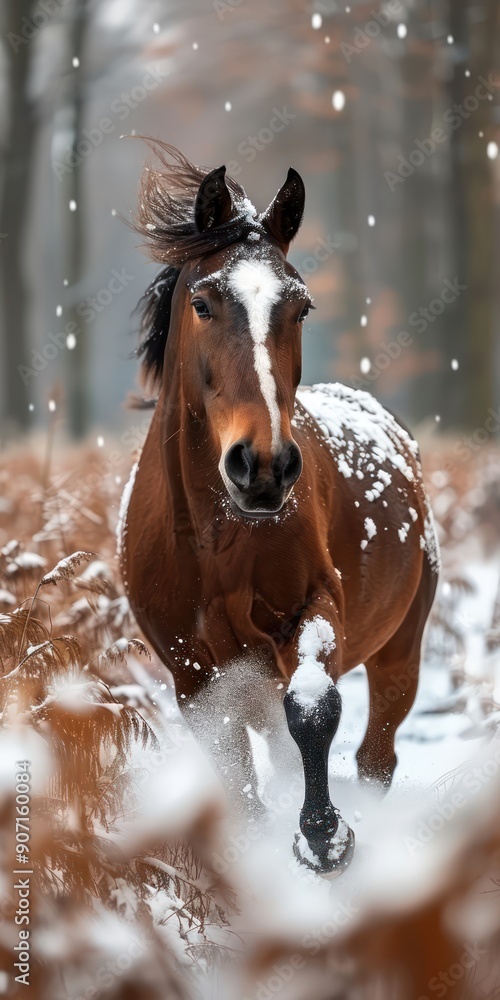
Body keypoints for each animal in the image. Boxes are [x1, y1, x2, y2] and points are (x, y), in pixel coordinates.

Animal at [118, 143, 439, 877]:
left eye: (302, 306)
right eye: (203, 302)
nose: (262, 466)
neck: (213, 542)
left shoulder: (313, 607)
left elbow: (314, 710)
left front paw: (324, 836)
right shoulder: (195, 676)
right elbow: (237, 777)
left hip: (399, 648)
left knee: (377, 753)